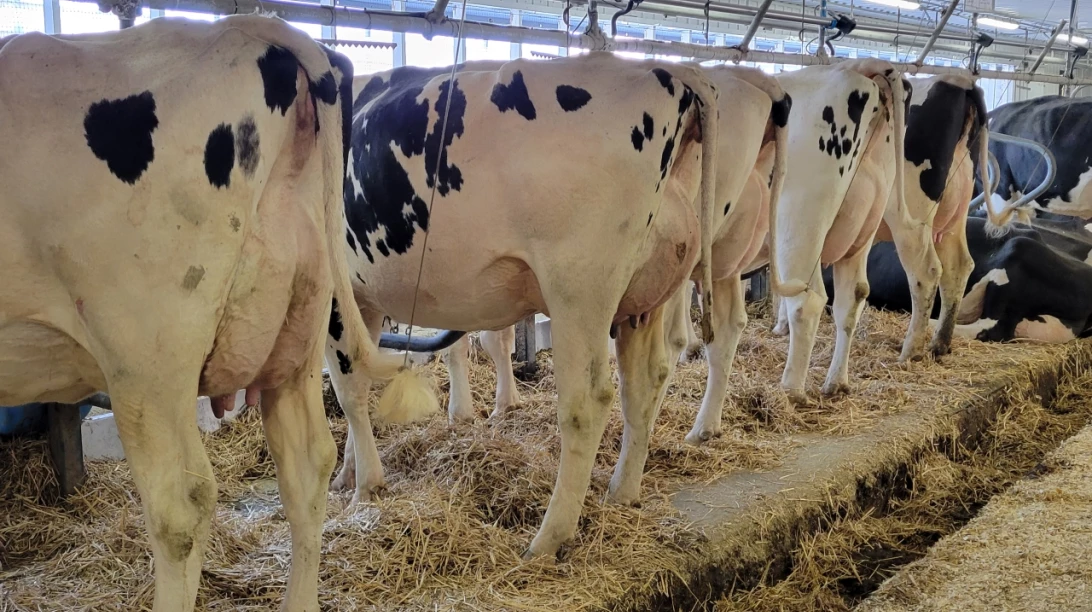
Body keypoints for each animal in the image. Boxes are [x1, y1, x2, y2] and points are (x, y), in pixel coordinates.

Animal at [322, 54, 806, 560]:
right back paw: (622, 490)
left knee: (589, 401)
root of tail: (668, 71)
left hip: (579, 288)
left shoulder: (331, 292)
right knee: (646, 379)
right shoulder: (361, 300)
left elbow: (349, 388)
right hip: (646, 291)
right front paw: (349, 473)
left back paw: (548, 537)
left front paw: (365, 485)